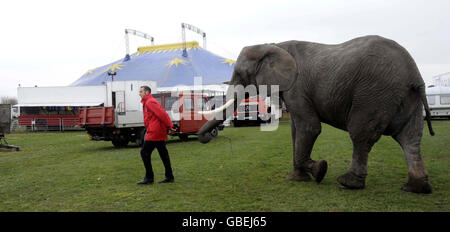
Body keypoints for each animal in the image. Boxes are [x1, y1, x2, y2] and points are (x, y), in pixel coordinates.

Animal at [199, 35, 434, 194]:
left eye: (241, 74)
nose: (206, 138)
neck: (273, 44)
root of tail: (414, 74)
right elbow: (296, 130)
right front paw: (297, 178)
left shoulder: (296, 86)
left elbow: (309, 127)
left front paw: (319, 170)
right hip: (405, 98)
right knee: (410, 138)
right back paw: (415, 187)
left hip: (375, 92)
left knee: (361, 135)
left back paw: (348, 183)